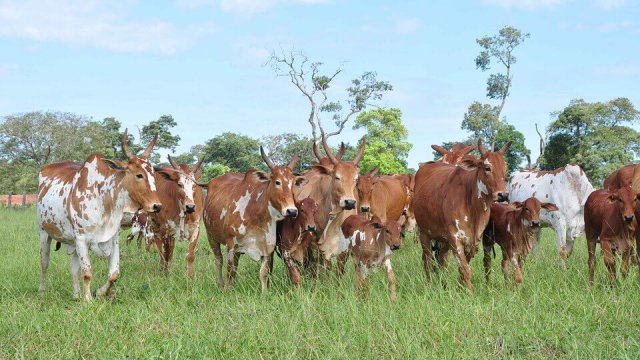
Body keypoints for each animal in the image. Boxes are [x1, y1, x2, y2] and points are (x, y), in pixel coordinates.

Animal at [37, 129, 161, 300]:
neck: (103, 199)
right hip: (44, 233)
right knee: (44, 263)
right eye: (139, 175)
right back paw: (42, 292)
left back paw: (76, 294)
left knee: (73, 268)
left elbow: (114, 274)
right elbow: (87, 273)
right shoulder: (81, 239)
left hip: (72, 243)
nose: (157, 206)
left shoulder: (113, 239)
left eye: (153, 174)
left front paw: (100, 292)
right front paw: (88, 299)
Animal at [204, 148, 306, 292]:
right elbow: (229, 272)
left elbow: (263, 273)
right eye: (277, 182)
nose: (292, 211)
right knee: (219, 261)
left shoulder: (267, 249)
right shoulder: (230, 246)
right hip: (212, 237)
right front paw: (227, 291)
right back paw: (220, 286)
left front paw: (264, 293)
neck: (256, 215)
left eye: (293, 183)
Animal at [412, 139, 512, 292]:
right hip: (424, 234)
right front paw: (469, 293)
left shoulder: (473, 242)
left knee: (442, 261)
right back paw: (430, 286)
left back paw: (445, 286)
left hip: (443, 240)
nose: (503, 195)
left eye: (505, 168)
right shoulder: (454, 238)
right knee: (427, 261)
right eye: (487, 168)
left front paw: (460, 290)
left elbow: (463, 269)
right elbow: (465, 269)